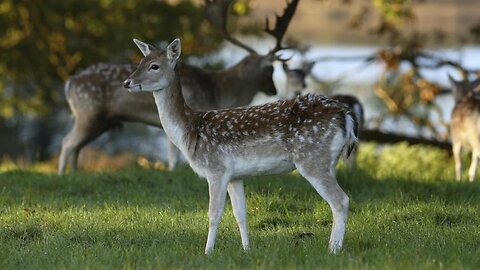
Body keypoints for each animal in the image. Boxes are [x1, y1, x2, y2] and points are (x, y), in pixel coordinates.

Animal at [57, 0, 296, 175]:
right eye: (270, 70)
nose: (274, 90)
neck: (219, 92)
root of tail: (70, 83)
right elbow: (174, 153)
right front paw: (173, 171)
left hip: (100, 120)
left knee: (76, 146)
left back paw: (74, 173)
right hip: (89, 113)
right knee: (68, 142)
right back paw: (63, 176)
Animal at [124, 38, 356, 255]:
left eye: (154, 66)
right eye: (140, 62)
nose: (127, 82)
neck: (189, 132)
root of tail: (346, 116)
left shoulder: (216, 169)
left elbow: (214, 214)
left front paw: (207, 252)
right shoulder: (235, 176)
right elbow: (240, 214)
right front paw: (247, 249)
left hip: (312, 158)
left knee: (341, 200)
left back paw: (333, 249)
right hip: (328, 162)